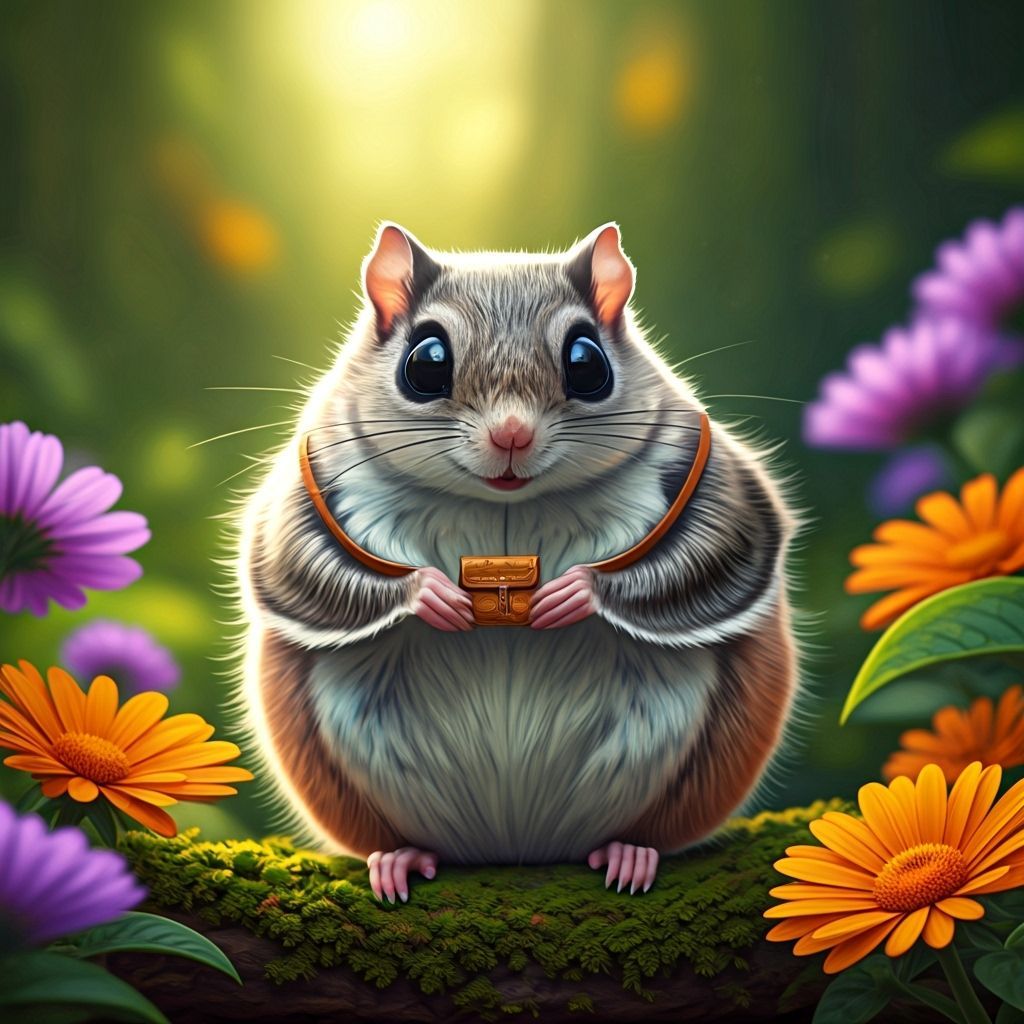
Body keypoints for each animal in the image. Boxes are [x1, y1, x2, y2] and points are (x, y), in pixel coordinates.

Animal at [235, 222, 800, 902]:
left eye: (587, 362)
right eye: (426, 362)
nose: (512, 435)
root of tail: (514, 845)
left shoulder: (713, 481)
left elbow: (709, 549)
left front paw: (575, 592)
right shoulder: (305, 487)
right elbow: (300, 562)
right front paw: (431, 595)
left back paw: (630, 854)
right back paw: (399, 858)